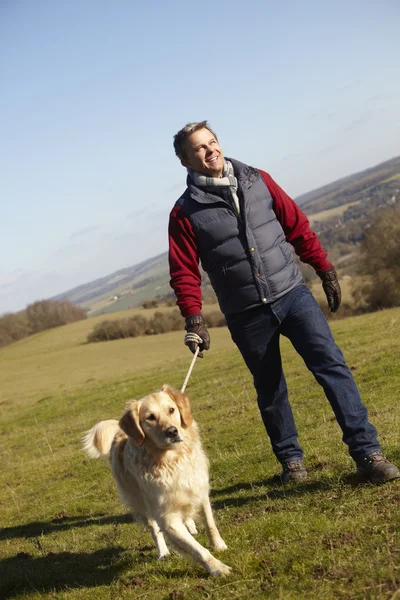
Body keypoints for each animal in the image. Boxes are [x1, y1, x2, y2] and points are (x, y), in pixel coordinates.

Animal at [82, 384, 231, 576]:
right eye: (150, 418)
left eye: (171, 410)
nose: (172, 431)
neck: (171, 461)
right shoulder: (167, 518)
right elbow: (198, 550)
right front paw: (218, 568)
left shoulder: (200, 492)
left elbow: (210, 525)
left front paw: (219, 546)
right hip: (141, 504)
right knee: (154, 530)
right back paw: (163, 552)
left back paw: (191, 525)